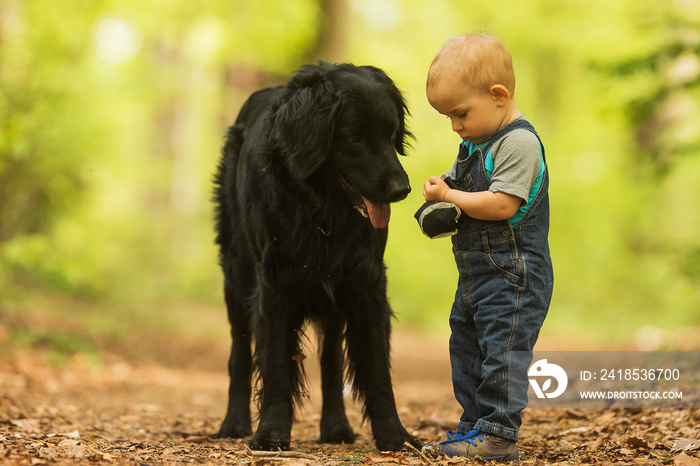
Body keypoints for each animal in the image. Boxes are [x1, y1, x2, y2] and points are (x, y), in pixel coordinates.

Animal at [213, 62, 418, 452]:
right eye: (354, 139)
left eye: (391, 134)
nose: (403, 190)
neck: (323, 211)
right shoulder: (273, 285)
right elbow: (276, 366)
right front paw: (270, 433)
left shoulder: (367, 284)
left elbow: (376, 370)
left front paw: (394, 435)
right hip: (236, 276)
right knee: (239, 355)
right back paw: (233, 423)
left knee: (331, 363)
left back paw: (336, 427)